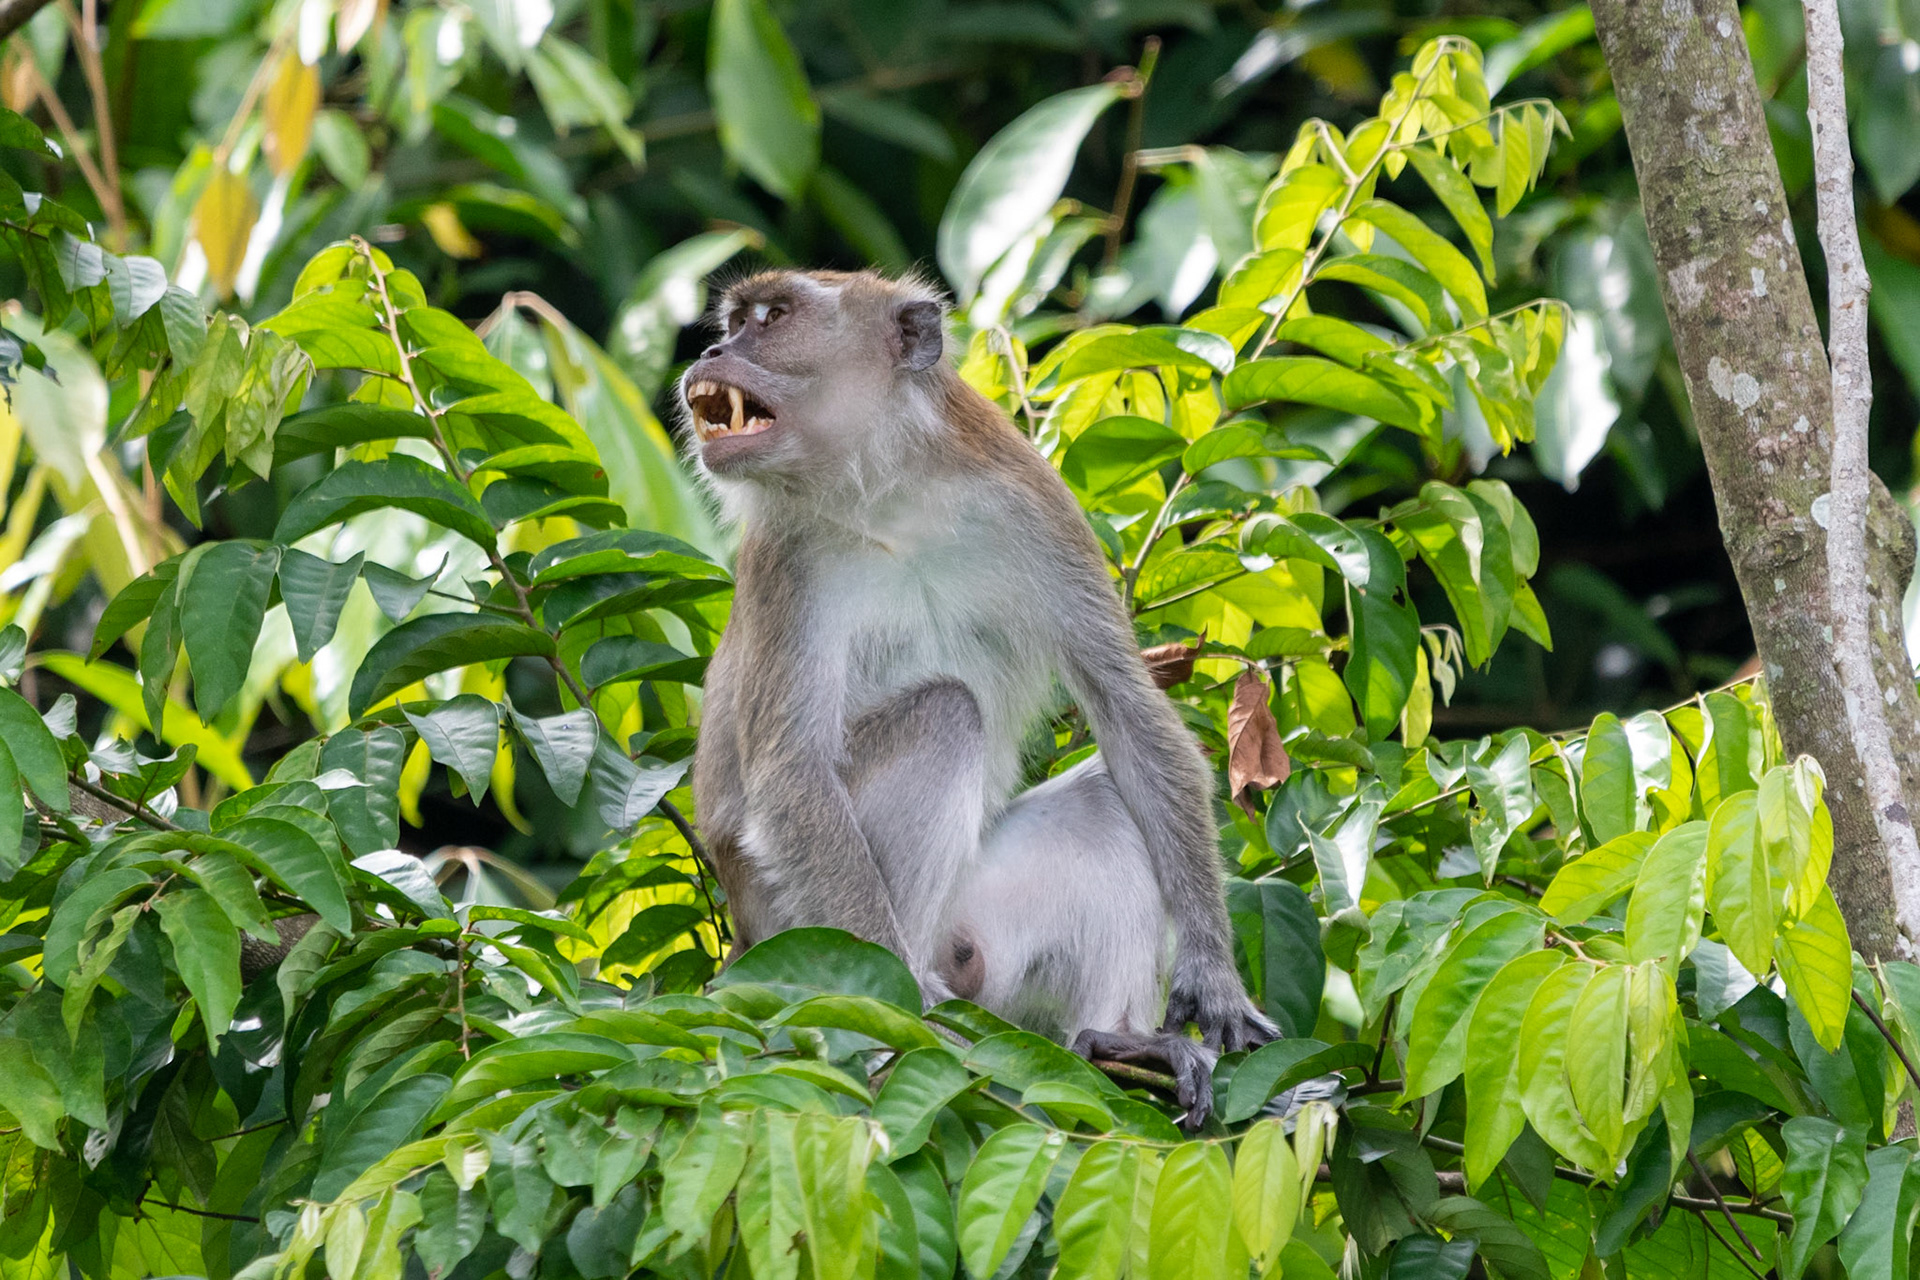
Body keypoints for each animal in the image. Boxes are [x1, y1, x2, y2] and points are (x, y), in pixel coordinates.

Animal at [680, 269, 1275, 1125]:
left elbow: (1126, 708)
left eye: (771, 318)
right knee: (944, 713)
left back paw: (1117, 1040)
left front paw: (1212, 974)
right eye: (736, 321)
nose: (712, 352)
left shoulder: (1032, 500)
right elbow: (792, 777)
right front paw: (895, 1004)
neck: (886, 491)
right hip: (789, 923)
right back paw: (915, 1008)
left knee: (1102, 797)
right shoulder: (783, 561)